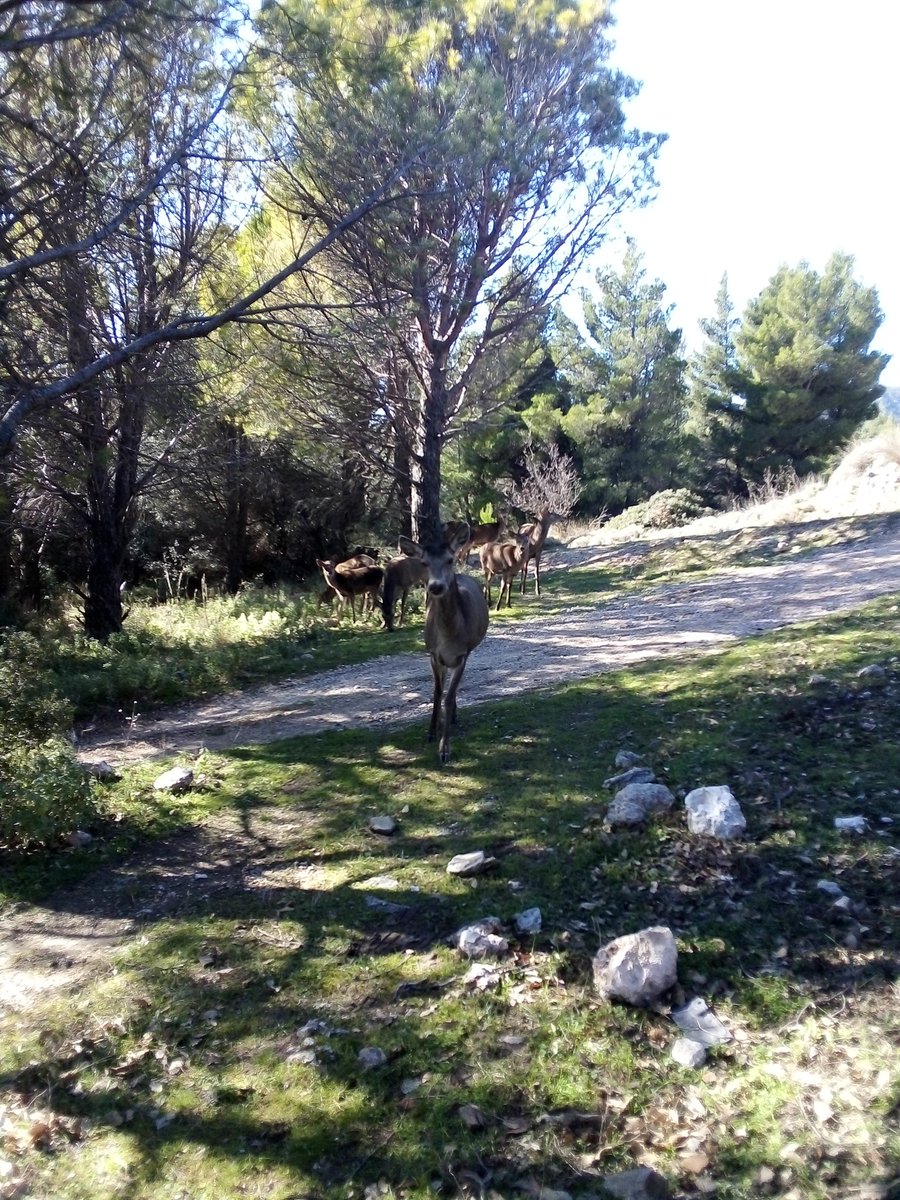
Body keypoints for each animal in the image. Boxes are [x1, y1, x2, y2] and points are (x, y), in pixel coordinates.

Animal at [398, 520, 489, 763]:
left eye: (449, 559)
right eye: (424, 562)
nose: (436, 586)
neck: (448, 638)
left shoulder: (462, 654)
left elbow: (448, 696)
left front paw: (445, 749)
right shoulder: (432, 653)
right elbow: (437, 693)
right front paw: (431, 732)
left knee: (453, 689)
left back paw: (454, 716)